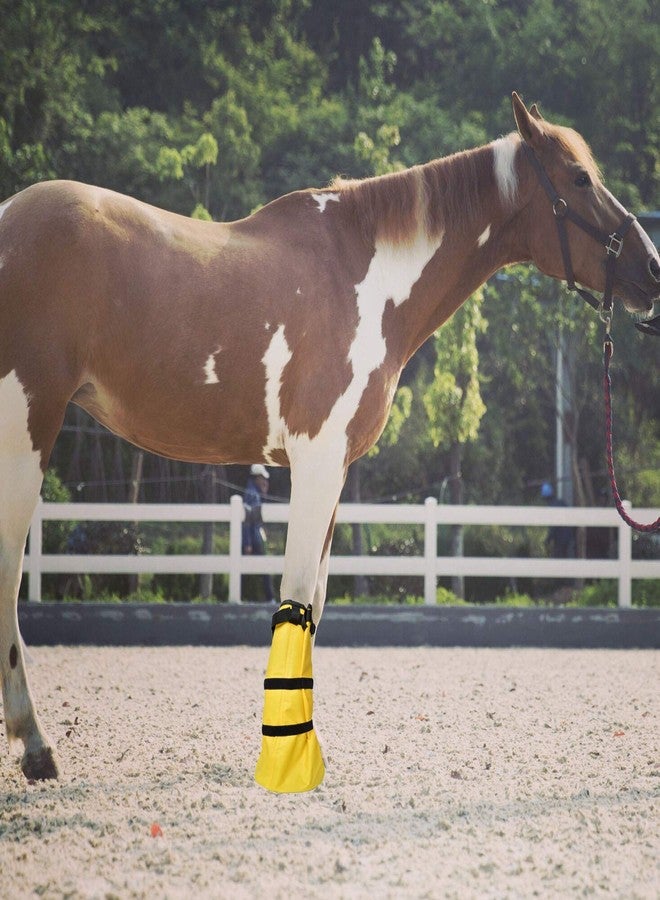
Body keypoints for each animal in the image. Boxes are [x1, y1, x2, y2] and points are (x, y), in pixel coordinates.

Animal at [1, 93, 658, 785]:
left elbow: (313, 602)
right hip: (25, 432)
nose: (652, 268)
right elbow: (294, 595)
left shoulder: (335, 469)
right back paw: (36, 744)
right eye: (580, 179)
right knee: (8, 573)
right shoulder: (314, 463)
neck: (368, 283)